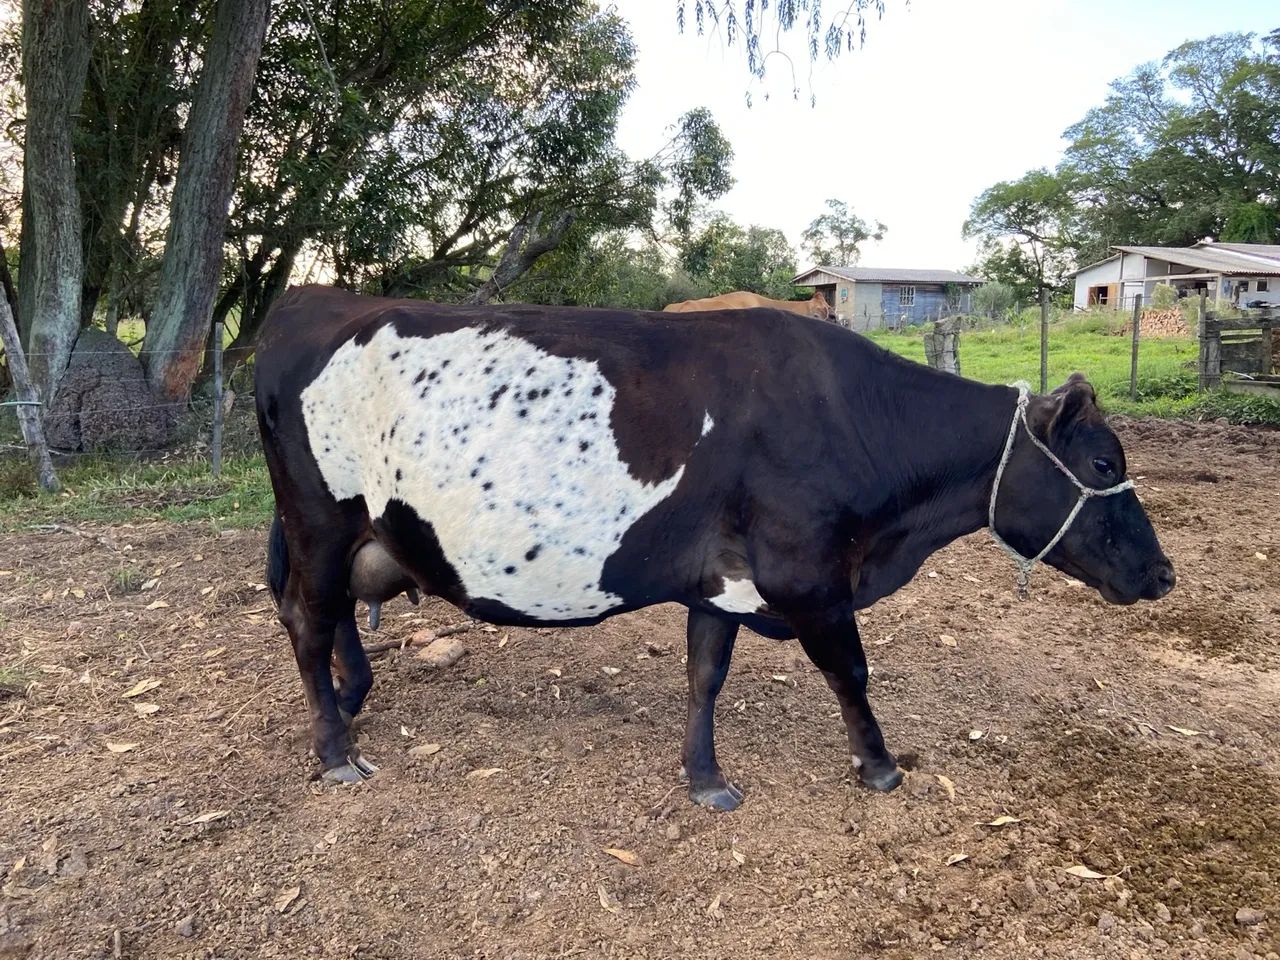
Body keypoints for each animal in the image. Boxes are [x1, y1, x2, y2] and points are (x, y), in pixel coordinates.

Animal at [255, 285, 1175, 808]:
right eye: (1104, 463)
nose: (1164, 573)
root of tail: (311, 297)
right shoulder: (807, 576)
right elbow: (851, 672)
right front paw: (879, 767)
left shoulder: (723, 582)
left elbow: (705, 674)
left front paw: (705, 779)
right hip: (320, 517)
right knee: (306, 617)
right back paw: (335, 752)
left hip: (354, 528)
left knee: (334, 615)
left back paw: (353, 698)